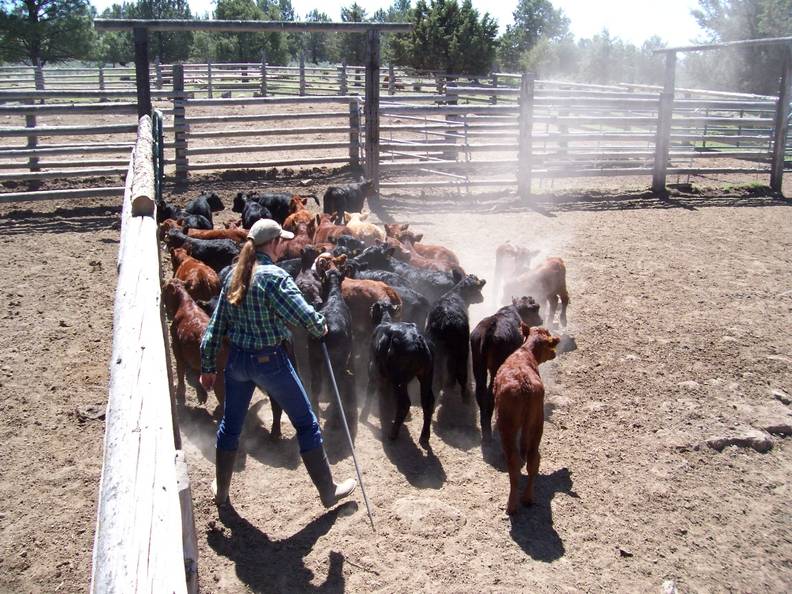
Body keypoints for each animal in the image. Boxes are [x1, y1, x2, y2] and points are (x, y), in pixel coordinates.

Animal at [492, 324, 560, 512]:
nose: (554, 353)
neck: (525, 353)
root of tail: (524, 383)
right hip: (537, 423)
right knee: (533, 459)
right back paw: (528, 498)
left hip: (508, 427)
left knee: (514, 461)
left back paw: (512, 505)